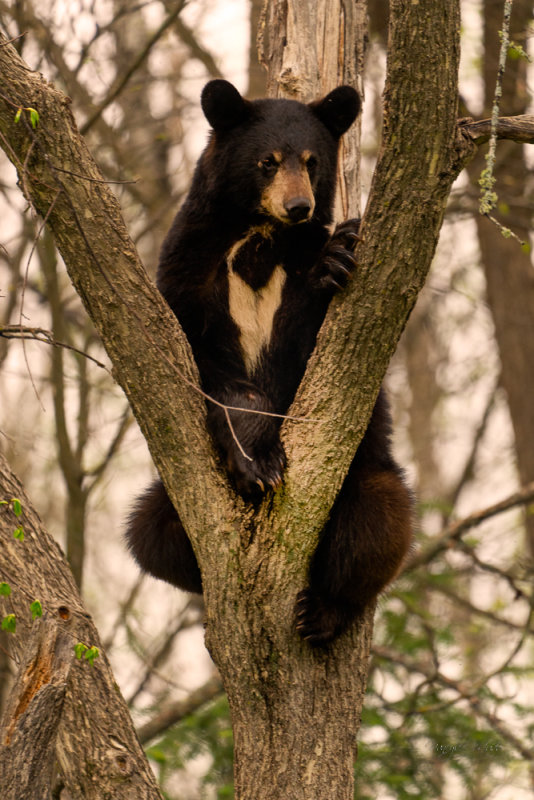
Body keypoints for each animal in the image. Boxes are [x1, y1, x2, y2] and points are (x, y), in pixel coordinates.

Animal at [126, 78, 414, 648]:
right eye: (267, 161)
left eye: (312, 161)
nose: (299, 206)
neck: (260, 237)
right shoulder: (189, 269)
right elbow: (207, 369)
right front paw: (258, 466)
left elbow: (321, 356)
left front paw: (339, 251)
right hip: (164, 509)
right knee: (149, 534)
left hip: (370, 474)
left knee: (377, 528)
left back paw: (320, 612)